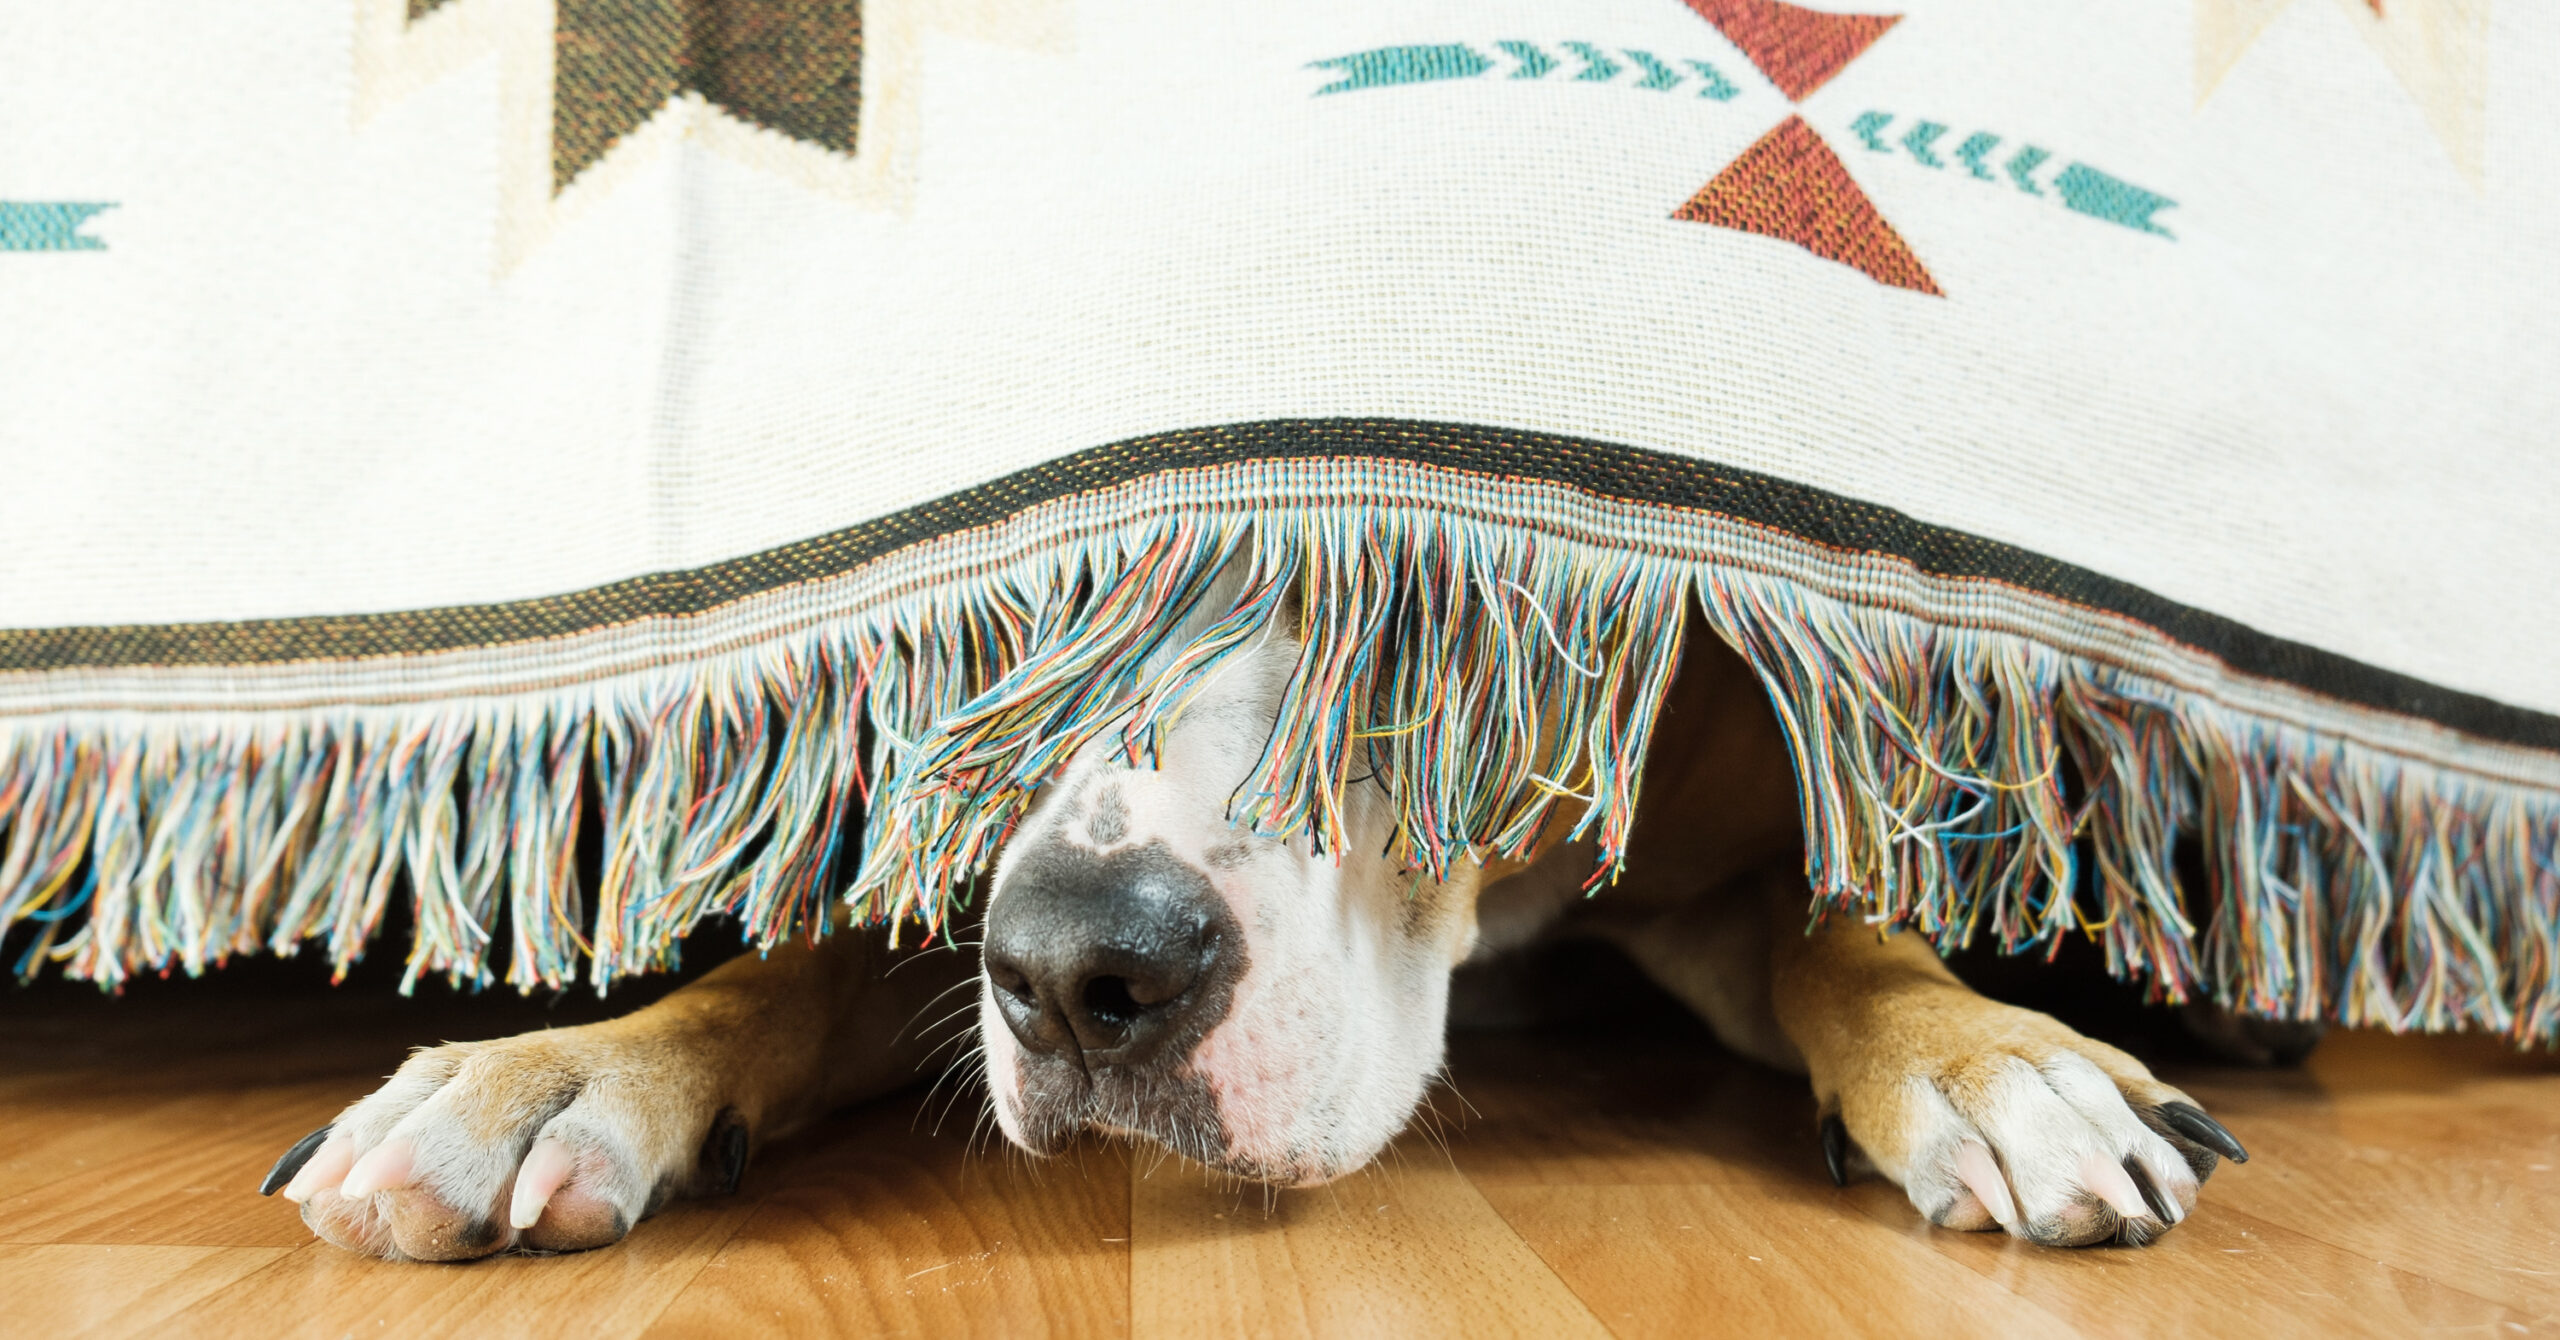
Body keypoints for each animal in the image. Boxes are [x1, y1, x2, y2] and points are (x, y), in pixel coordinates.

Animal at [264, 584, 2242, 1260]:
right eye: (1042, 608)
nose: (1080, 972)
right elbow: (787, 971)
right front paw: (553, 1074)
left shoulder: (1724, 843)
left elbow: (1855, 935)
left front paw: (1995, 1066)